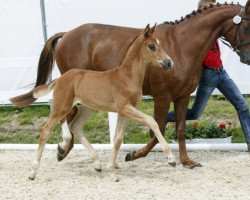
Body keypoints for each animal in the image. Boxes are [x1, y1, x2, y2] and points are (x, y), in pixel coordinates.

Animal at [28, 24, 175, 180]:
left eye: (160, 43)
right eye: (151, 46)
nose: (169, 63)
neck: (127, 77)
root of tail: (60, 79)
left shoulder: (125, 112)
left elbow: (117, 139)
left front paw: (111, 167)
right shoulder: (125, 108)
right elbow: (151, 121)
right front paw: (171, 159)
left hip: (86, 108)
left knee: (76, 127)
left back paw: (97, 164)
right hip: (61, 107)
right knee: (46, 131)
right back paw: (33, 172)